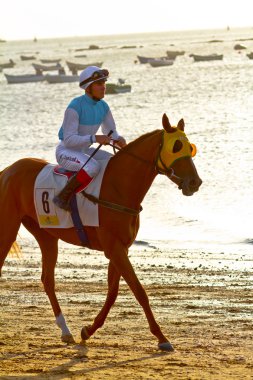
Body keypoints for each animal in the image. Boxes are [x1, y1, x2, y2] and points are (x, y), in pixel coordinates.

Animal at [0, 114, 202, 352]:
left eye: (190, 147)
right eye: (176, 146)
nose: (195, 182)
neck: (118, 186)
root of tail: (7, 170)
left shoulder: (119, 248)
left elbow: (113, 293)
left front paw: (88, 330)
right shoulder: (114, 248)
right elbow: (139, 291)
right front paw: (161, 337)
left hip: (46, 235)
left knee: (47, 279)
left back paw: (66, 331)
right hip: (8, 228)